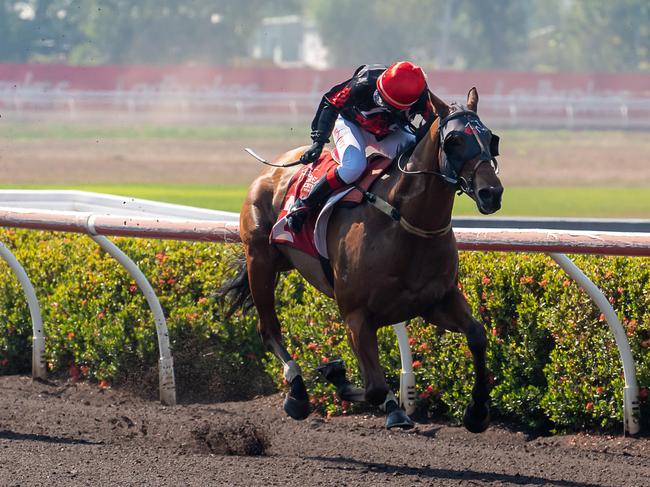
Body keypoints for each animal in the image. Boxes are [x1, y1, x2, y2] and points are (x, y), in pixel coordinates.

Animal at [223, 86, 502, 430]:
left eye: (489, 137)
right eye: (455, 141)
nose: (492, 193)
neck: (405, 223)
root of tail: (273, 167)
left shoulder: (436, 301)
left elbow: (477, 336)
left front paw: (477, 411)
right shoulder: (357, 316)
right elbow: (374, 387)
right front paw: (341, 378)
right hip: (259, 260)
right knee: (268, 329)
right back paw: (297, 394)